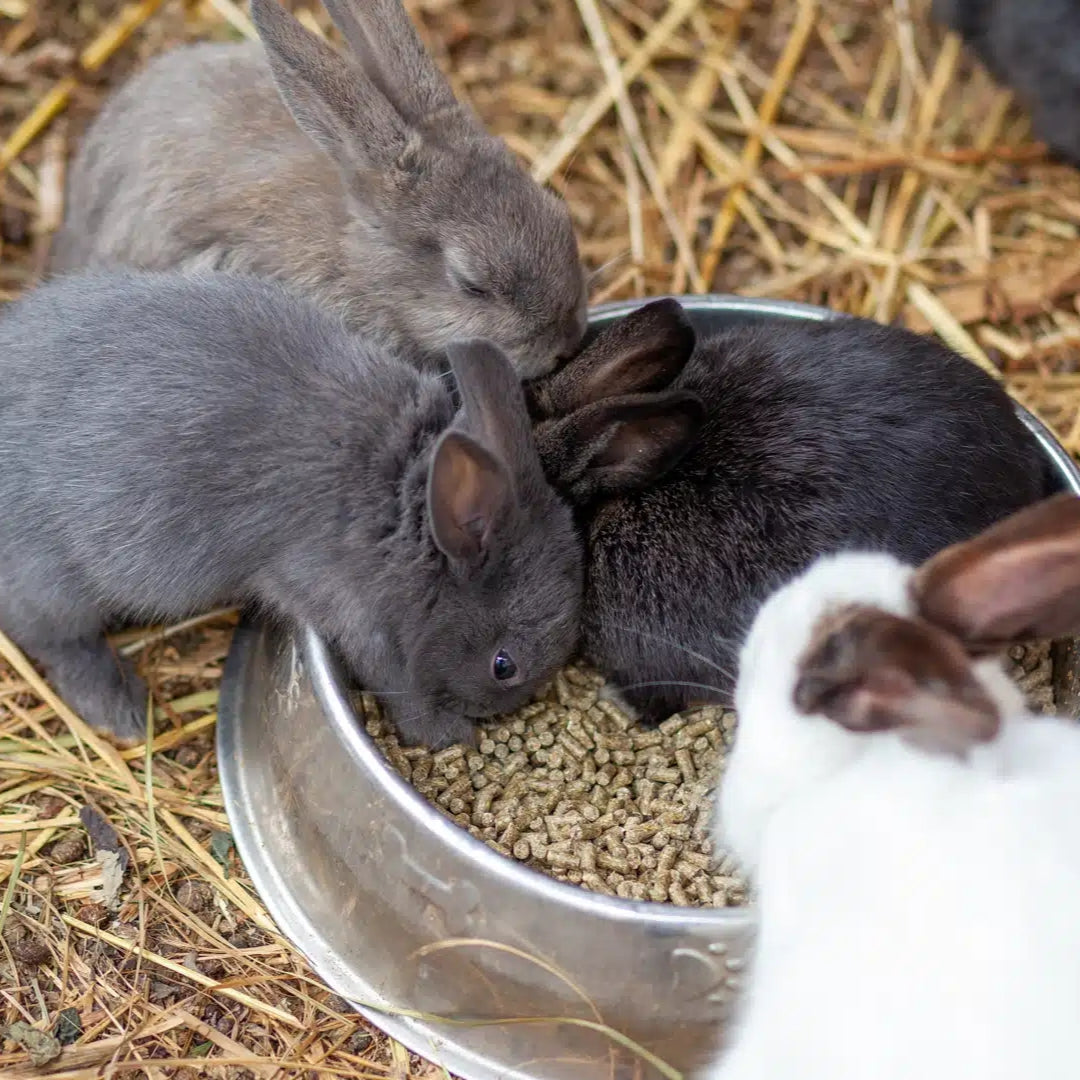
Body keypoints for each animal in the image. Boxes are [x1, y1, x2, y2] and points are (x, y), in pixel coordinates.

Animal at [0, 269, 582, 750]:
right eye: (503, 665)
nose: (502, 712)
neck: (405, 504)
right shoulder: (355, 616)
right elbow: (397, 683)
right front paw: (448, 735)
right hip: (56, 588)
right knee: (56, 644)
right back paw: (122, 711)